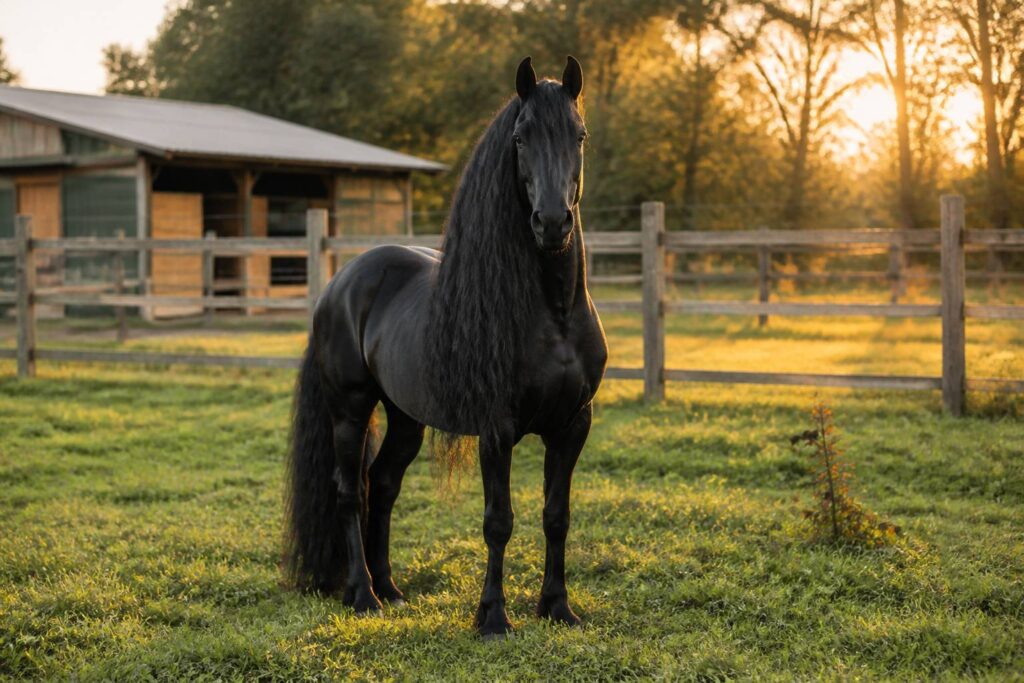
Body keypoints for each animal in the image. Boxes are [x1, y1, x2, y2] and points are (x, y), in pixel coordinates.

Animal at [284, 56, 607, 637]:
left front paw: (557, 608)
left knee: (383, 484)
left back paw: (391, 589)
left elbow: (556, 516)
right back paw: (362, 594)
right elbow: (498, 521)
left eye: (580, 134)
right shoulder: (497, 430)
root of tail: (341, 283)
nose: (552, 223)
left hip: (406, 417)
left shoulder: (573, 425)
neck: (554, 316)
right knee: (351, 492)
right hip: (350, 409)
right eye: (520, 137)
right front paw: (493, 618)